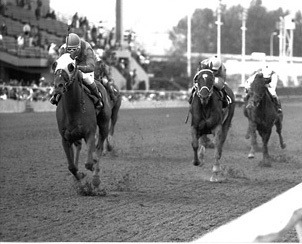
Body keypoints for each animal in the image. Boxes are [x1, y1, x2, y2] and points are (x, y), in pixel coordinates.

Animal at [52, 53, 121, 187]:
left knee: (103, 140)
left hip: (107, 118)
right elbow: (71, 167)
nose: (58, 86)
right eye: (55, 64)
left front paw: (93, 178)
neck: (73, 109)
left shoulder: (89, 133)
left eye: (71, 66)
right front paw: (80, 178)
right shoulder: (65, 138)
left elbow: (90, 162)